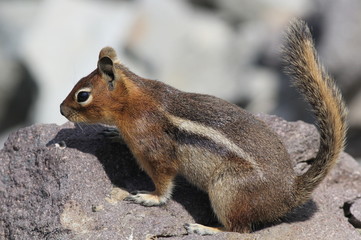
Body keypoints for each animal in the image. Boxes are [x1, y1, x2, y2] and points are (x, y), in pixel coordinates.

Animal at [60, 19, 348, 235]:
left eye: (82, 95)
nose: (61, 110)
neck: (134, 102)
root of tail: (290, 193)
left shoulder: (155, 151)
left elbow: (164, 182)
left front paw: (149, 197)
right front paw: (114, 134)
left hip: (227, 190)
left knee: (239, 230)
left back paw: (205, 228)